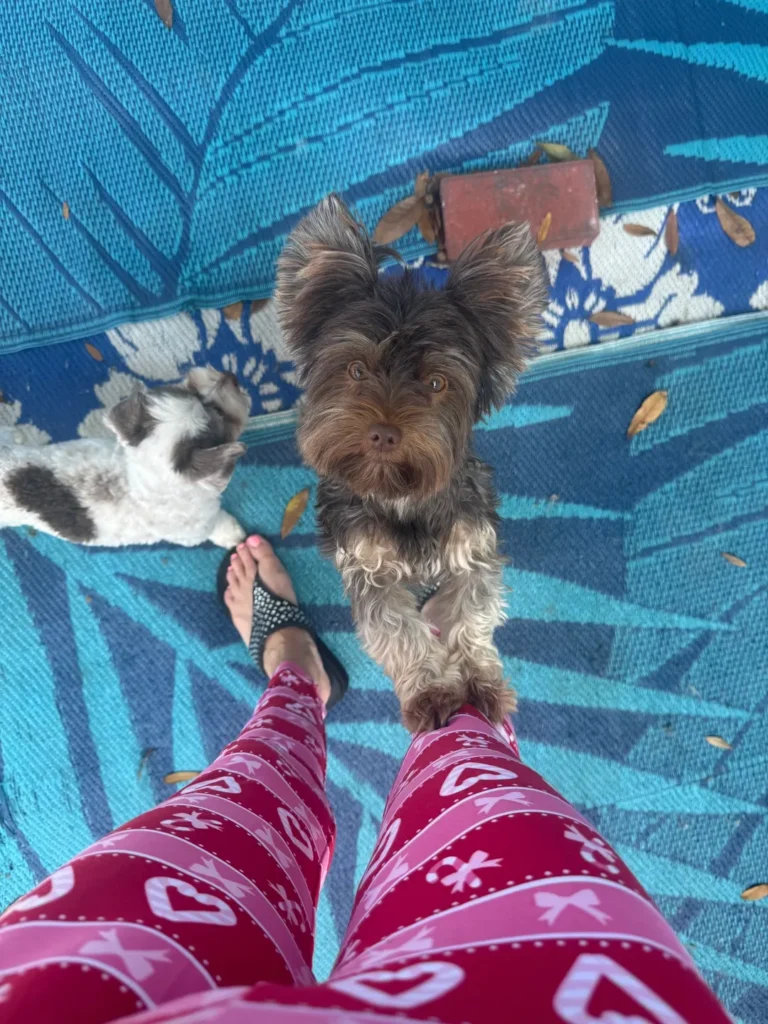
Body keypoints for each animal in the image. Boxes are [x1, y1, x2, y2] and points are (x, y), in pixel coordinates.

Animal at [0, 367, 250, 549]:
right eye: (221, 414)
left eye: (194, 391)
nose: (231, 377)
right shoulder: (197, 528)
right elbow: (218, 524)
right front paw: (232, 534)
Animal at [276, 194, 548, 731]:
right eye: (356, 370)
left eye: (437, 383)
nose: (383, 432)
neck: (401, 496)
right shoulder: (368, 568)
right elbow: (396, 631)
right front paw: (430, 689)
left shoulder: (472, 546)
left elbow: (472, 613)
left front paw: (477, 680)